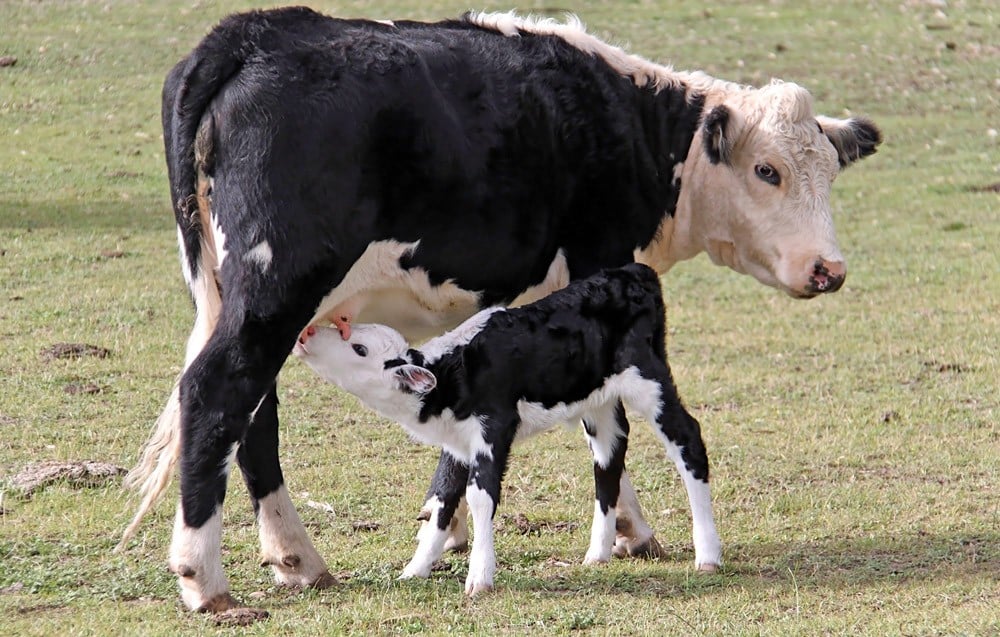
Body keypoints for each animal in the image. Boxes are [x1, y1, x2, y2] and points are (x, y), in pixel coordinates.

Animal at [292, 264, 716, 596]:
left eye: (360, 349)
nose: (306, 334)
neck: (454, 373)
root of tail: (634, 272)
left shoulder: (493, 430)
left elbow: (480, 498)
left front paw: (479, 578)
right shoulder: (458, 442)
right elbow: (442, 500)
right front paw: (415, 570)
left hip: (649, 378)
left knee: (688, 438)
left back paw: (708, 553)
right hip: (599, 403)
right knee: (609, 456)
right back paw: (597, 554)